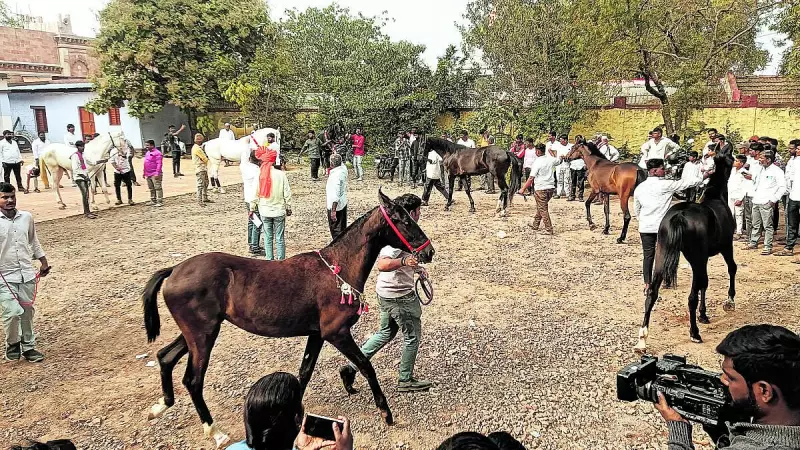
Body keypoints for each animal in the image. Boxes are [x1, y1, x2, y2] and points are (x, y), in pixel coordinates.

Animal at [142, 189, 435, 448]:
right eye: (405, 220)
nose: (429, 252)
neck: (337, 269)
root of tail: (174, 270)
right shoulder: (336, 333)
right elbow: (365, 365)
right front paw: (386, 413)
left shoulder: (316, 334)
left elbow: (304, 373)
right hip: (203, 334)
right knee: (193, 380)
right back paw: (214, 431)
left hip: (197, 331)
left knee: (165, 357)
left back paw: (160, 406)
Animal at [634, 152, 736, 352]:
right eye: (731, 158)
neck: (717, 198)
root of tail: (679, 216)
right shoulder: (726, 246)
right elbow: (731, 269)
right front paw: (729, 302)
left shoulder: (704, 258)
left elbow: (705, 283)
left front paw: (703, 315)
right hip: (696, 258)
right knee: (691, 297)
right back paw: (695, 334)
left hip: (662, 254)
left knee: (652, 292)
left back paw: (642, 339)